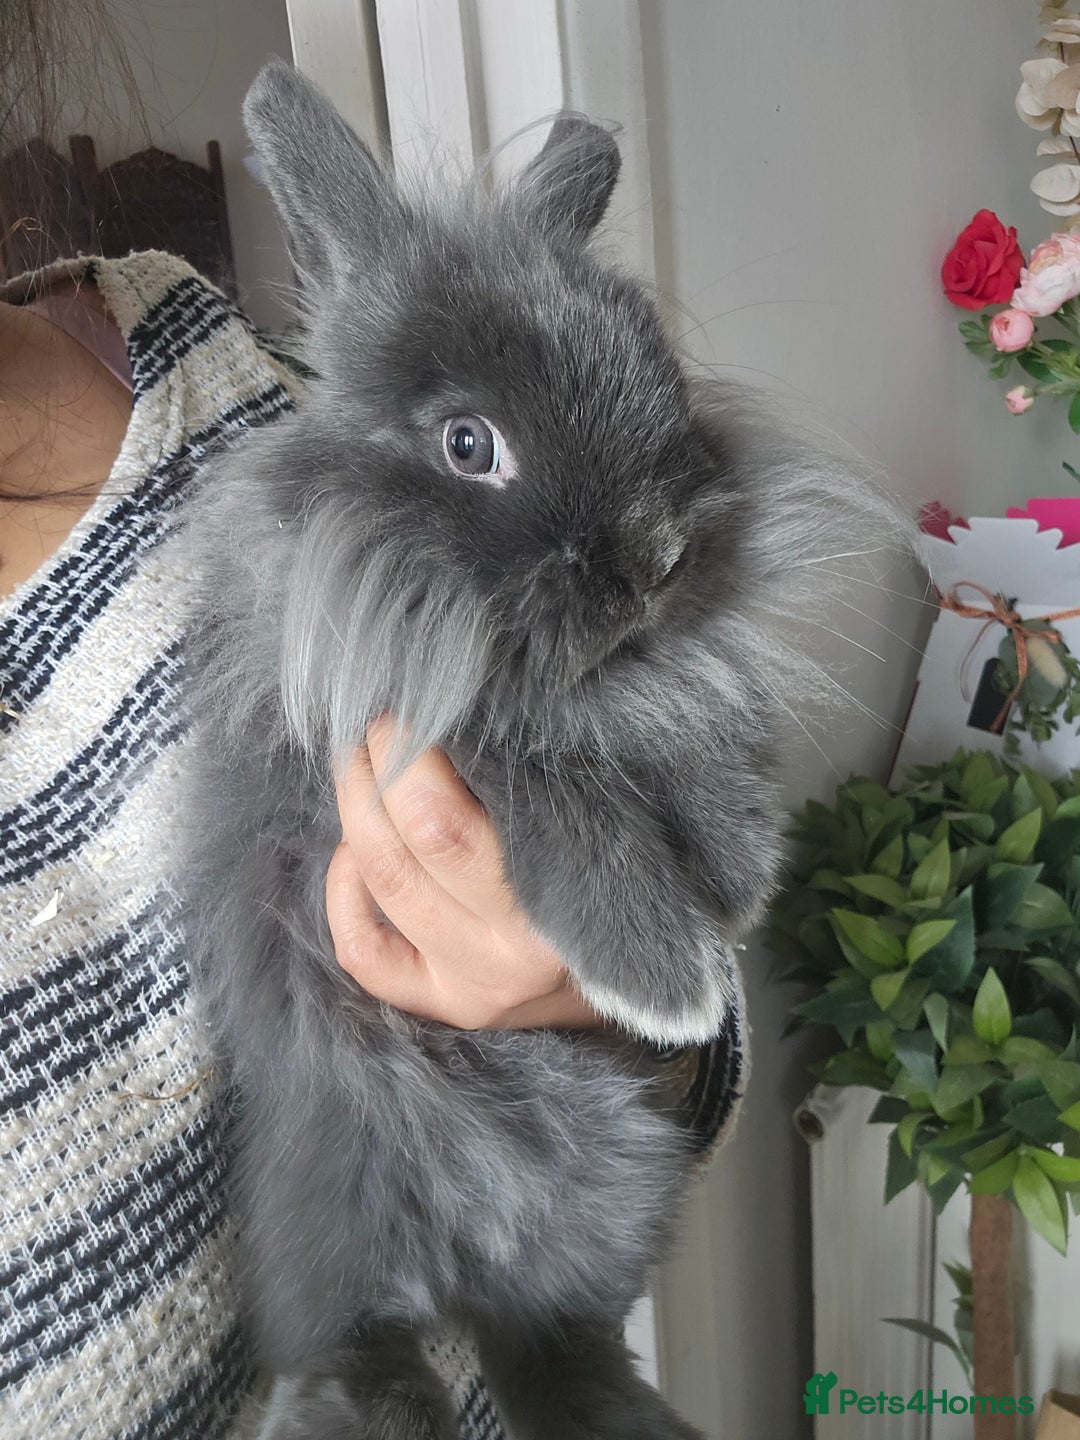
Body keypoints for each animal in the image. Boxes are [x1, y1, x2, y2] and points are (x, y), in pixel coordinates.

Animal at [182, 59, 900, 1440]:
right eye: (470, 444)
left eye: (663, 378)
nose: (657, 556)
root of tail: (471, 1263)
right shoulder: (408, 745)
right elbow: (560, 796)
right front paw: (666, 972)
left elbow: (693, 716)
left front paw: (738, 866)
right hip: (338, 1207)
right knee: (354, 1343)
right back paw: (337, 1408)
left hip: (608, 1206)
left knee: (559, 1352)